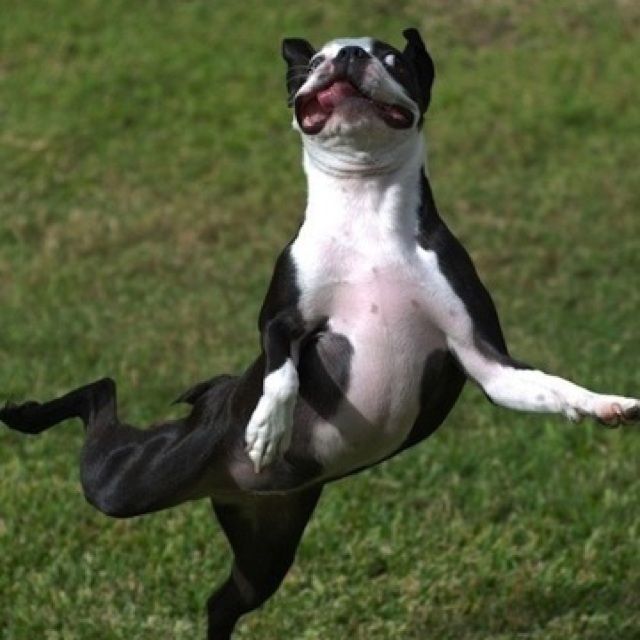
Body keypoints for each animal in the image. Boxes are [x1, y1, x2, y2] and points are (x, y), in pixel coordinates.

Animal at [2, 28, 639, 639]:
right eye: (312, 63)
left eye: (393, 58)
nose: (351, 54)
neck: (365, 207)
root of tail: (225, 474)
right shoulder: (280, 318)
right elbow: (282, 368)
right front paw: (268, 426)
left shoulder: (485, 358)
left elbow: (552, 387)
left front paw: (607, 405)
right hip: (128, 480)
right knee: (101, 395)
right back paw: (27, 414)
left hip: (263, 543)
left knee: (221, 602)